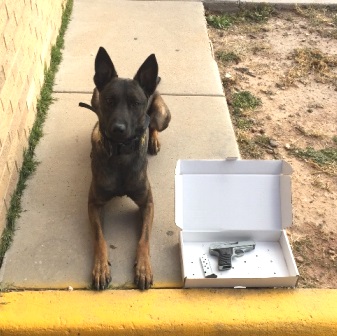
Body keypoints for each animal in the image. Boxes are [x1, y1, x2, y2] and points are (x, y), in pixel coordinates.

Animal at [80, 46, 171, 288]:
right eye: (110, 100)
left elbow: (144, 239)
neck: (120, 153)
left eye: (135, 103)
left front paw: (143, 267)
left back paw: (153, 140)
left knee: (153, 124)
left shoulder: (147, 203)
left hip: (162, 116)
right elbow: (100, 238)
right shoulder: (94, 203)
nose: (118, 129)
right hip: (94, 97)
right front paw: (100, 267)